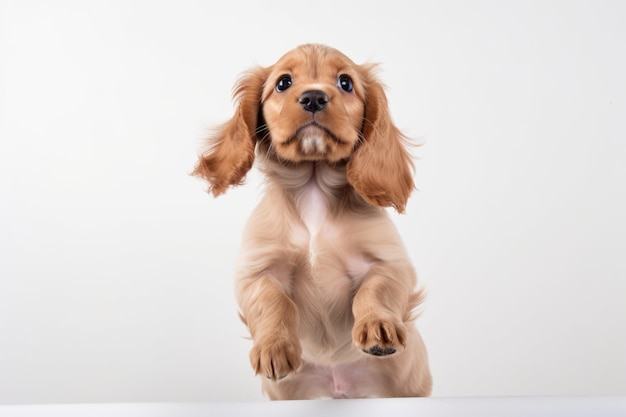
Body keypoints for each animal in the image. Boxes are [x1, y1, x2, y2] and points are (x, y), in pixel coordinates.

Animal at [194, 44, 428, 398]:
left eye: (345, 82)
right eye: (283, 82)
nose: (314, 97)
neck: (314, 190)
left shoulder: (390, 262)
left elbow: (375, 290)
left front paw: (379, 326)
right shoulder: (256, 271)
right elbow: (273, 300)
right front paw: (274, 348)